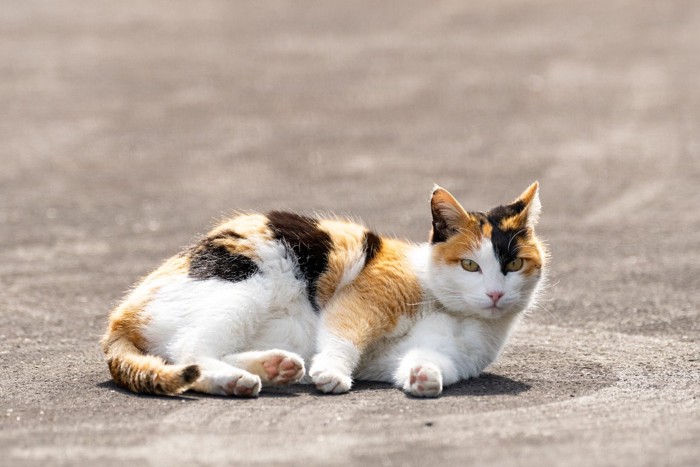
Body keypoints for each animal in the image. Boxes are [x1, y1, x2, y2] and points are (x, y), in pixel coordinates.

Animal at [101, 183, 544, 398]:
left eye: (514, 264)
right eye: (470, 265)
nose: (494, 295)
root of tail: (120, 316)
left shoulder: (442, 354)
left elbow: (426, 361)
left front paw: (424, 378)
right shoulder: (365, 298)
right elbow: (343, 335)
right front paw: (332, 373)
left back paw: (272, 369)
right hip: (244, 286)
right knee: (189, 352)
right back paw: (241, 379)